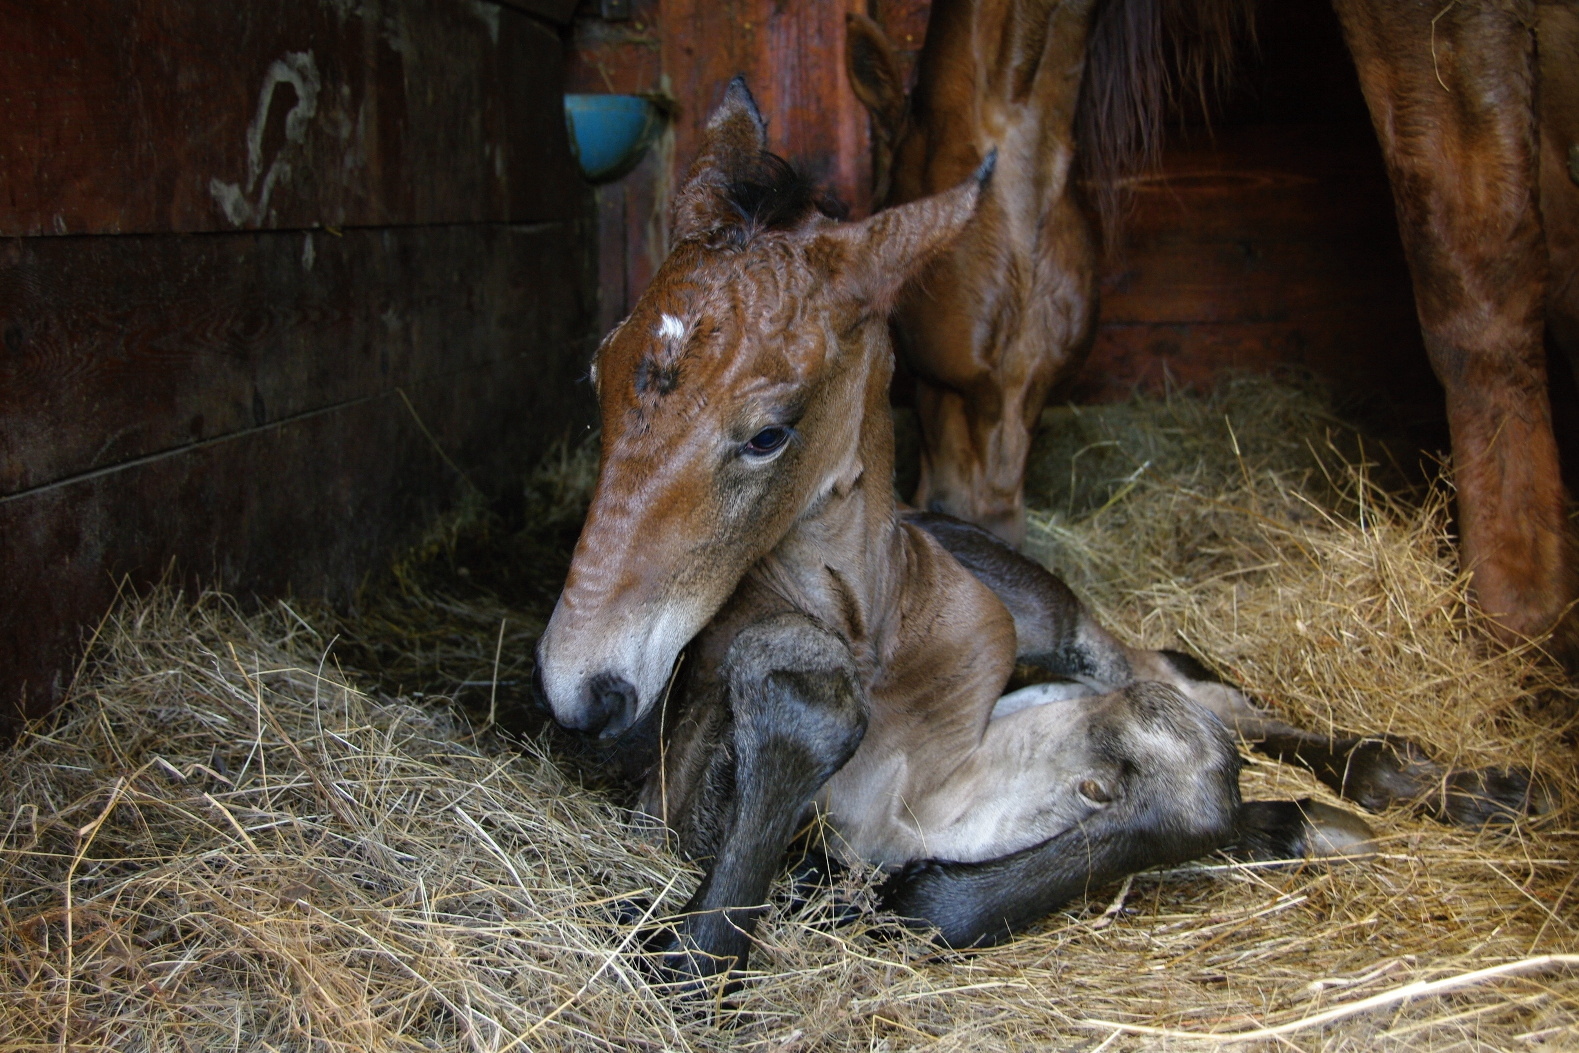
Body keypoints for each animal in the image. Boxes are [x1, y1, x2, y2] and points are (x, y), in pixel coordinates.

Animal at [536, 82, 1547, 978]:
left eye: (767, 432)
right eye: (594, 374)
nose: (583, 686)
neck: (875, 629)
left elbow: (1168, 749)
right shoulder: (688, 802)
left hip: (1057, 616)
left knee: (1179, 674)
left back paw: (1459, 783)